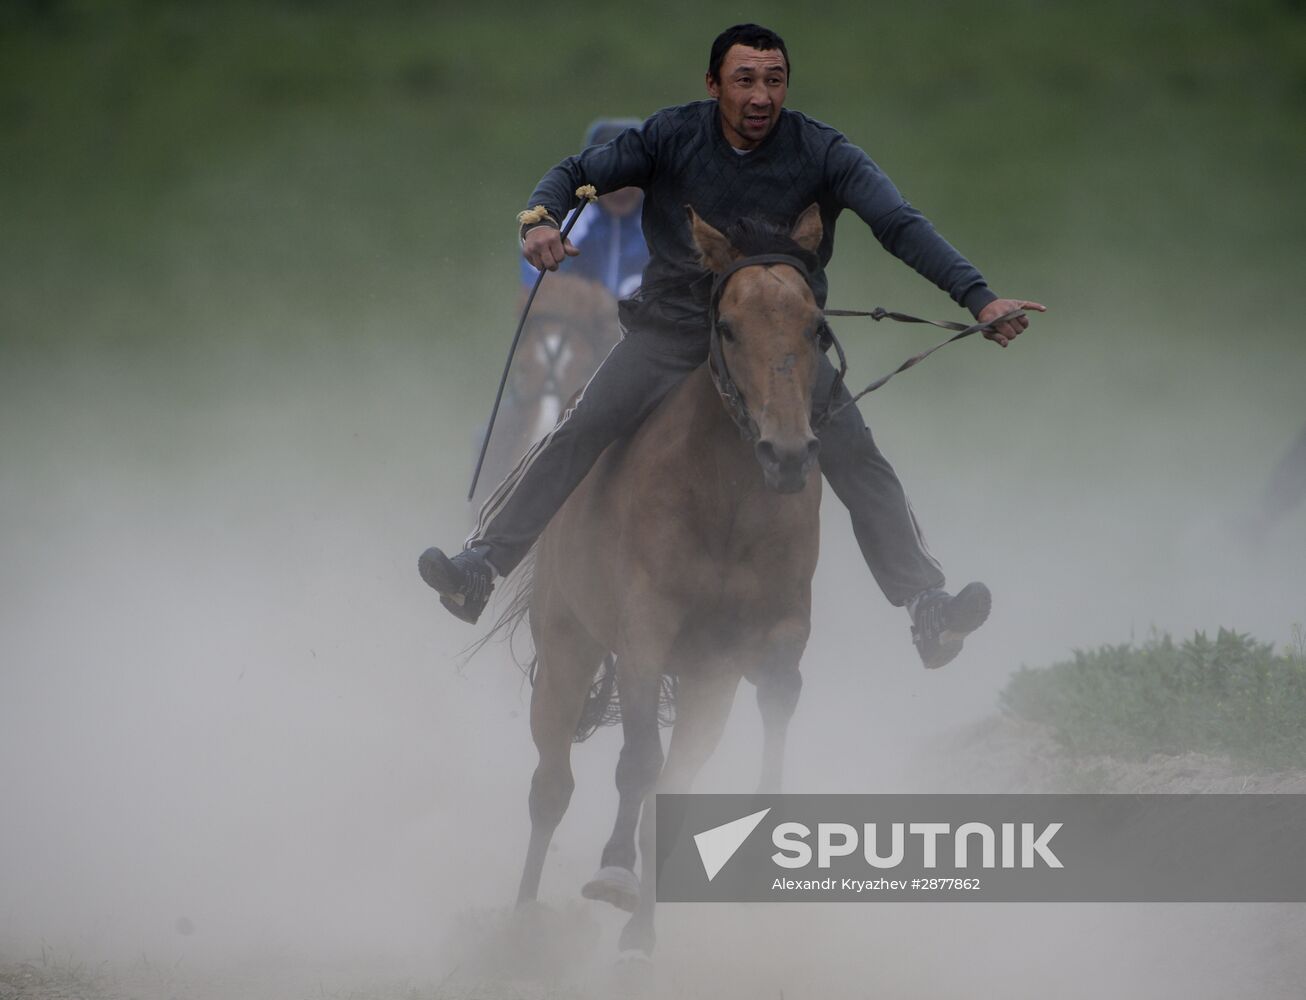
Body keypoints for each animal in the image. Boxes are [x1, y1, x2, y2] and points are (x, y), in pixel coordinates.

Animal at [511, 201, 825, 955]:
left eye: (813, 326)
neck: (728, 497)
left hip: (706, 687)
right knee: (552, 784)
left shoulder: (764, 635)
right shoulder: (644, 632)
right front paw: (614, 876)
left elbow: (774, 694)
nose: (788, 452)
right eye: (729, 326)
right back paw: (523, 923)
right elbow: (635, 766)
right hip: (566, 646)